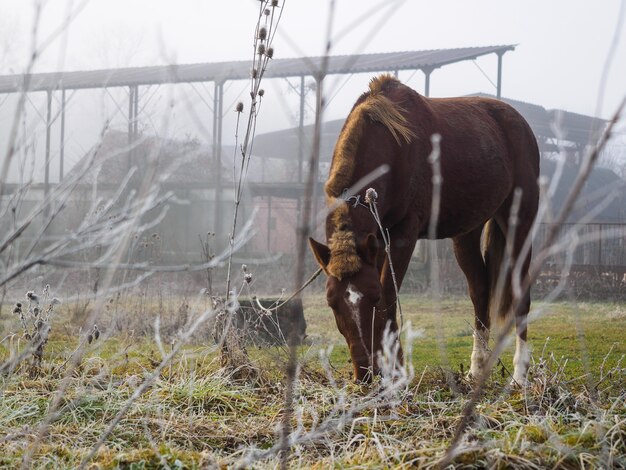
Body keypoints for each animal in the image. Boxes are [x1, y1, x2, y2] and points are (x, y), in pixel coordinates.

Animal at [308, 73, 536, 382]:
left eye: (372, 297)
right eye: (332, 302)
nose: (364, 372)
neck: (390, 148)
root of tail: (519, 122)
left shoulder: (404, 234)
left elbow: (390, 297)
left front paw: (396, 368)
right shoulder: (376, 238)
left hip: (520, 220)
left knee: (521, 291)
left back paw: (520, 375)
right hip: (467, 232)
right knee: (479, 290)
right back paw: (476, 370)